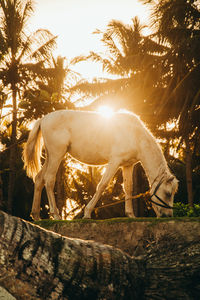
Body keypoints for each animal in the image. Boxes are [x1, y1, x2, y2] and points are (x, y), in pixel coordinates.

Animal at [23, 109, 178, 219]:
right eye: (168, 193)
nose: (168, 216)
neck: (135, 135)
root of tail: (43, 119)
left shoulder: (127, 165)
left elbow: (128, 188)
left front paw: (130, 214)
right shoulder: (114, 161)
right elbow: (102, 185)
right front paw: (87, 213)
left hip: (50, 157)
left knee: (39, 179)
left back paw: (36, 215)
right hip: (57, 155)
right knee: (49, 179)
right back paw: (55, 215)